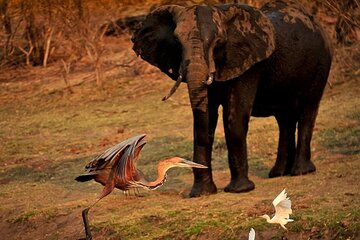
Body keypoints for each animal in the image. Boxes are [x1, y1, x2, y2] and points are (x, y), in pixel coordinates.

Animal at [130, 0, 332, 197]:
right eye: (177, 42)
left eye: (218, 42)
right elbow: (206, 119)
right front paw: (202, 193)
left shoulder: (248, 66)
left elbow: (234, 119)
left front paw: (240, 190)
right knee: (285, 119)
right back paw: (279, 173)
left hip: (321, 64)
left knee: (307, 111)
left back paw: (301, 171)